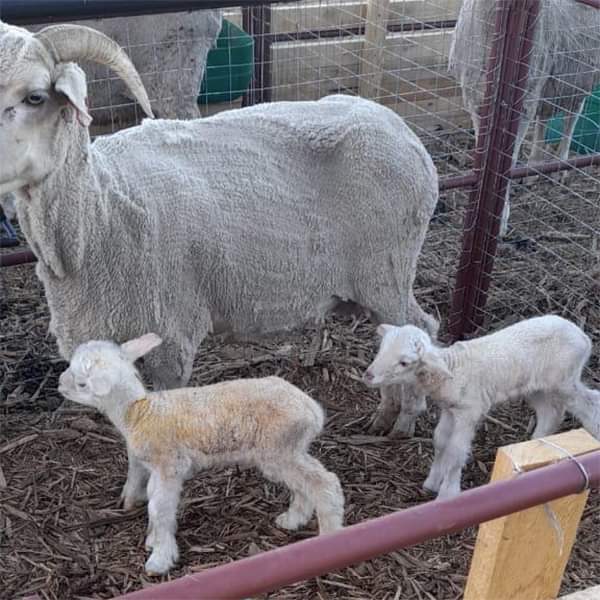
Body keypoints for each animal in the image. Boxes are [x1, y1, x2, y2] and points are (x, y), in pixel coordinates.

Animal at [0, 19, 440, 404]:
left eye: (35, 96)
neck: (102, 209)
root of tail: (400, 128)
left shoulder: (171, 337)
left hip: (387, 272)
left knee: (423, 328)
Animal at [59, 336, 346, 576]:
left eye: (82, 382)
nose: (59, 383)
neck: (138, 413)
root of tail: (313, 410)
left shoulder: (169, 466)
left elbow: (160, 508)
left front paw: (159, 560)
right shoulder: (158, 469)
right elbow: (152, 500)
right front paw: (152, 540)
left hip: (278, 448)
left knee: (324, 482)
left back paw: (330, 538)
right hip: (288, 450)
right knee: (306, 484)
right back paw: (292, 520)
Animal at [360, 316, 600, 500]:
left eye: (404, 362)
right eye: (381, 349)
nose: (368, 375)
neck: (452, 370)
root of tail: (583, 336)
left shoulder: (469, 411)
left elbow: (456, 451)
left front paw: (447, 494)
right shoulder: (450, 409)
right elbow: (440, 441)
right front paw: (432, 482)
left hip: (564, 379)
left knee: (590, 403)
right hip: (538, 386)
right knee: (551, 413)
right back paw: (536, 448)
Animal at [450, 0, 600, 238]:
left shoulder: (522, 102)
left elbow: (507, 160)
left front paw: (500, 218)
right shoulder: (474, 95)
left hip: (576, 75)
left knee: (572, 116)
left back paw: (561, 166)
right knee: (544, 118)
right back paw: (533, 168)